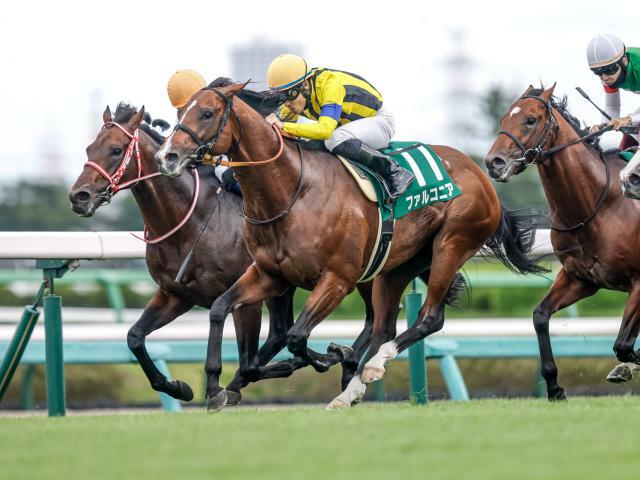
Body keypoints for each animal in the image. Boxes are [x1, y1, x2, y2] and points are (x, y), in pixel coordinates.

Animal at [69, 104, 376, 404]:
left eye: (116, 149)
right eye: (89, 148)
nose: (78, 197)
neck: (192, 222)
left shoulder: (248, 299)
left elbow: (249, 361)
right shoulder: (176, 294)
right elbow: (134, 337)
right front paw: (178, 387)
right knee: (283, 332)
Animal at [158, 80, 544, 410]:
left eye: (206, 113)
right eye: (180, 114)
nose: (168, 157)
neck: (292, 191)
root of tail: (480, 172)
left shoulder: (337, 279)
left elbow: (297, 336)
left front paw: (328, 357)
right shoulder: (270, 274)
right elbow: (220, 309)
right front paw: (214, 388)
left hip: (450, 245)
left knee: (429, 318)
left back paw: (369, 366)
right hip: (395, 266)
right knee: (383, 325)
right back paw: (352, 385)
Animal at [484, 85, 640, 398]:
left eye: (531, 120)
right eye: (504, 118)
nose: (494, 163)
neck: (598, 206)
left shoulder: (639, 281)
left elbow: (623, 344)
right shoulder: (579, 279)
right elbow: (540, 316)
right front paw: (554, 386)